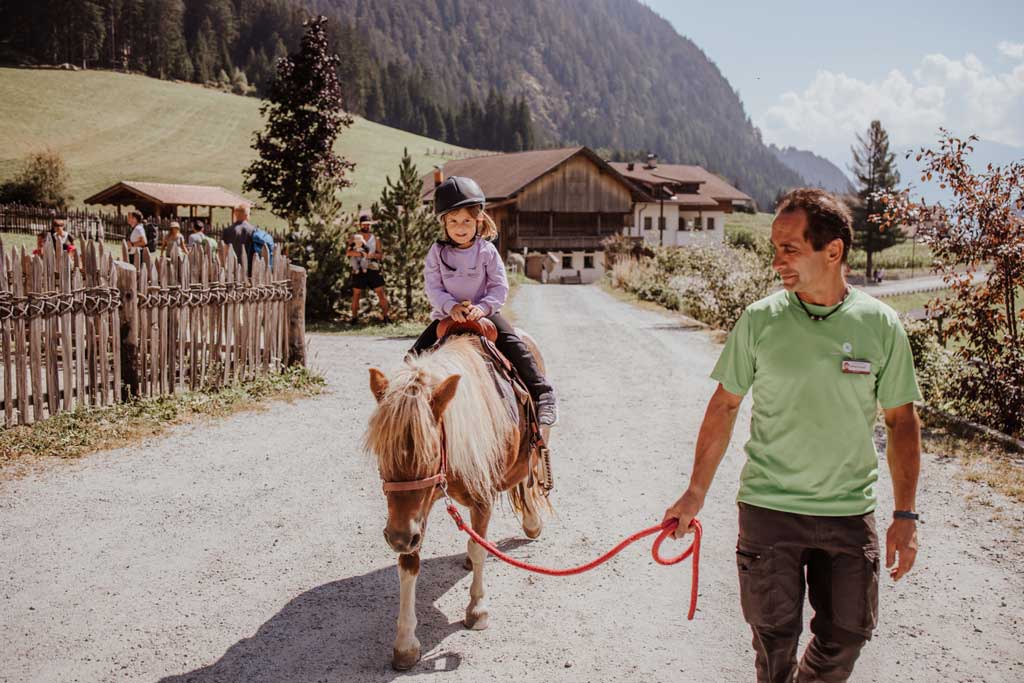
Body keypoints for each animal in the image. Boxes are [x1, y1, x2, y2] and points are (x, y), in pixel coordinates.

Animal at [362, 333, 548, 671]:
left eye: (431, 452)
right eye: (383, 451)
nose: (397, 538)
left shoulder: (482, 499)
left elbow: (479, 550)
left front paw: (477, 611)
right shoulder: (412, 515)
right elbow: (409, 564)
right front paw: (406, 644)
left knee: (526, 479)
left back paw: (531, 523)